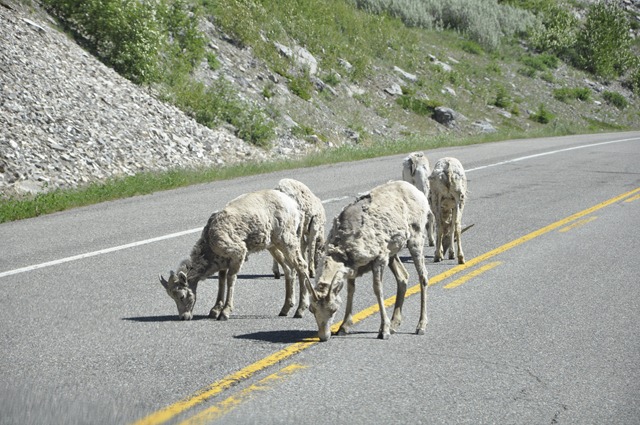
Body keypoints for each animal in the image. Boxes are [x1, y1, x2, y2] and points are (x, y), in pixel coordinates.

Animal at [160, 189, 311, 320]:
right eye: (172, 297)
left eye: (181, 296)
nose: (184, 317)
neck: (210, 242)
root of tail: (294, 206)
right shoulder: (223, 262)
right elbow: (221, 282)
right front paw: (214, 310)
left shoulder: (238, 254)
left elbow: (230, 280)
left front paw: (224, 313)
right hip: (273, 245)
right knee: (289, 270)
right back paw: (285, 309)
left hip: (286, 240)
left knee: (301, 266)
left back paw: (300, 310)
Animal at [305, 181, 430, 341]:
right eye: (311, 309)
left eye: (333, 309)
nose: (323, 336)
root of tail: (417, 192)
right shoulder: (353, 268)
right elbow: (351, 291)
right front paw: (343, 327)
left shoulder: (379, 259)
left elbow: (378, 290)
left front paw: (384, 331)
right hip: (393, 253)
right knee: (403, 277)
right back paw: (394, 325)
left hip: (415, 240)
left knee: (423, 277)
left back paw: (420, 326)